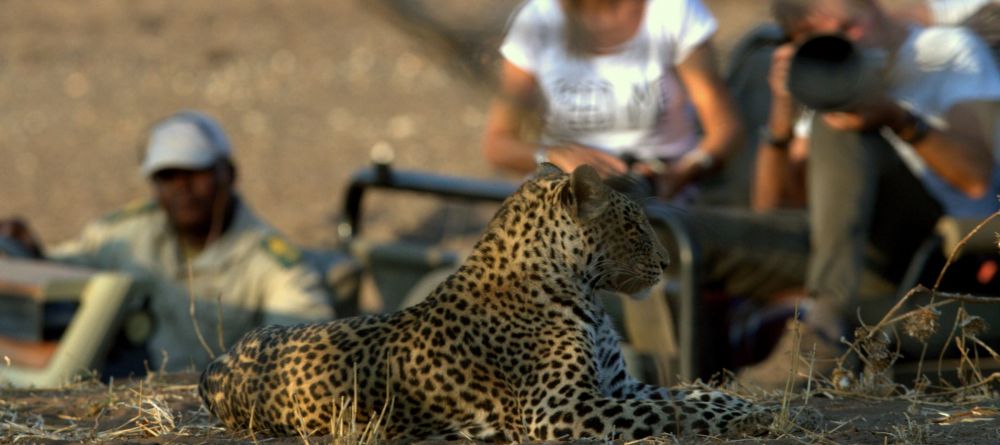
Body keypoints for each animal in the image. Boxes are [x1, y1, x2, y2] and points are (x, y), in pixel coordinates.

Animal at [197, 164, 772, 440]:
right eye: (633, 226)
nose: (669, 263)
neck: (585, 293)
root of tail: (217, 364)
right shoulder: (559, 409)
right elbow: (669, 410)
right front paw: (747, 413)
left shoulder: (617, 385)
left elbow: (679, 395)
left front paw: (742, 403)